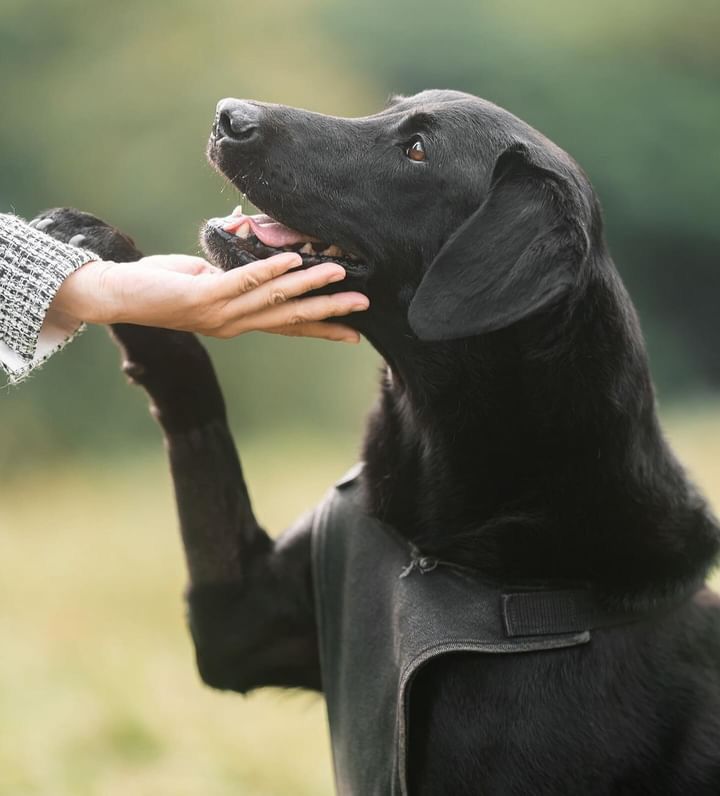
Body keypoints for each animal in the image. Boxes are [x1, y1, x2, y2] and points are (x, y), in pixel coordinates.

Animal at [39, 90, 720, 792]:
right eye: (394, 109)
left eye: (417, 150)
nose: (228, 115)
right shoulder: (239, 619)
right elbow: (189, 384)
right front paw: (96, 245)